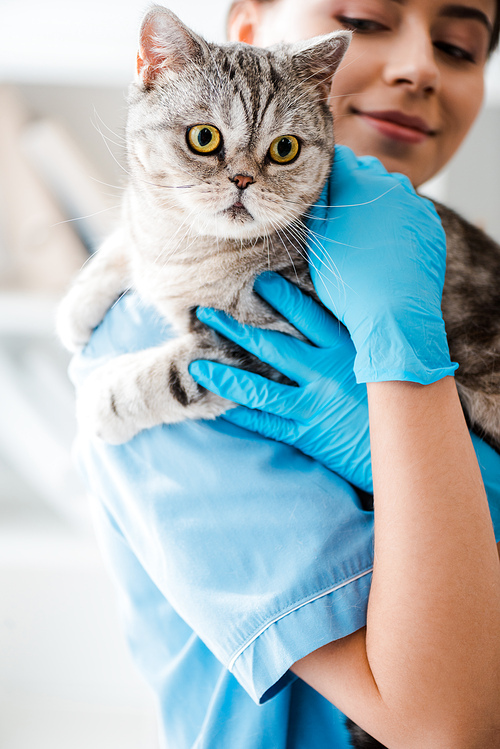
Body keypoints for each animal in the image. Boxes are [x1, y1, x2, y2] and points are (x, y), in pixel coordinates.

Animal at [71, 1, 500, 748]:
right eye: (205, 138)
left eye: (284, 150)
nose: (243, 181)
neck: (197, 251)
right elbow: (130, 236)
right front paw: (79, 303)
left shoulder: (264, 340)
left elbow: (166, 371)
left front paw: (98, 397)